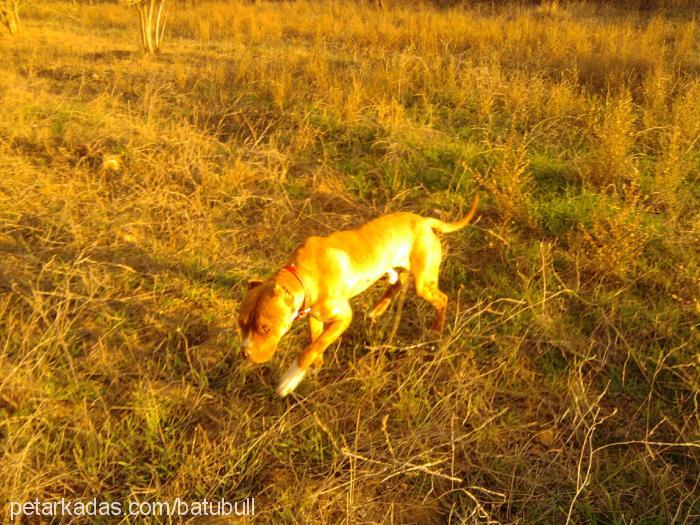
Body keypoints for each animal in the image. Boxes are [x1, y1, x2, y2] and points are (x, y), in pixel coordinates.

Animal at [238, 192, 478, 392]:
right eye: (241, 324)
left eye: (265, 328)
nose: (245, 353)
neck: (301, 276)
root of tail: (425, 222)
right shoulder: (313, 316)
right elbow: (316, 340)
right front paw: (315, 364)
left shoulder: (343, 317)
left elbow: (312, 347)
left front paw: (291, 378)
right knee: (397, 282)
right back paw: (378, 308)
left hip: (423, 284)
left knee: (441, 299)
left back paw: (437, 330)